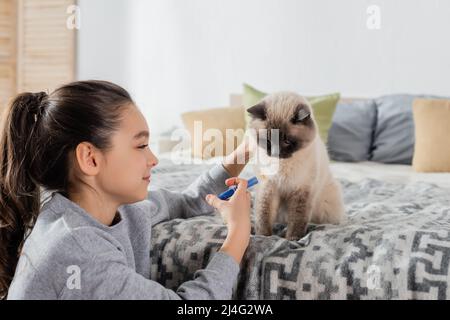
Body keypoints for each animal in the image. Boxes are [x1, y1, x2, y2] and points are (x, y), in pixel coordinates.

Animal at [246, 92, 344, 240]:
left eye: (287, 141)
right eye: (268, 140)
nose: (275, 153)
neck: (282, 166)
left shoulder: (301, 191)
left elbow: (297, 219)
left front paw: (292, 239)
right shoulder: (268, 188)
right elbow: (264, 216)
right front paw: (264, 236)